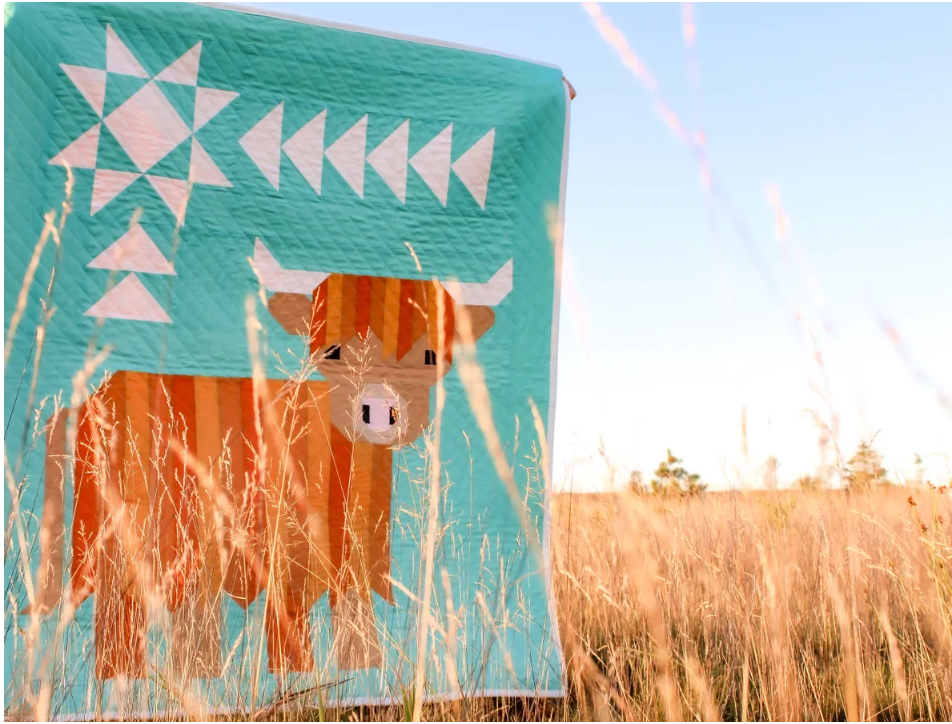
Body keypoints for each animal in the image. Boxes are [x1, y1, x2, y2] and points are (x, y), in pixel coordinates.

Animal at [23, 239, 512, 678]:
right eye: (331, 351)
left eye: (431, 356)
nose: (378, 411)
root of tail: (90, 397)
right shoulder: (285, 552)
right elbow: (290, 627)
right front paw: (299, 675)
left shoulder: (349, 557)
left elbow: (356, 621)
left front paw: (362, 669)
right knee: (128, 612)